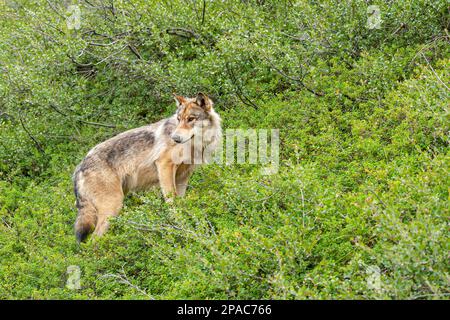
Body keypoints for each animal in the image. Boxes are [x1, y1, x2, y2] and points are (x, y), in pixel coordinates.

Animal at [73, 92, 222, 242]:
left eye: (191, 119)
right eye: (179, 119)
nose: (175, 138)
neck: (194, 146)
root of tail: (79, 167)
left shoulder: (183, 177)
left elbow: (180, 201)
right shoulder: (165, 165)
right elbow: (172, 200)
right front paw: (177, 225)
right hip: (113, 206)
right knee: (93, 240)